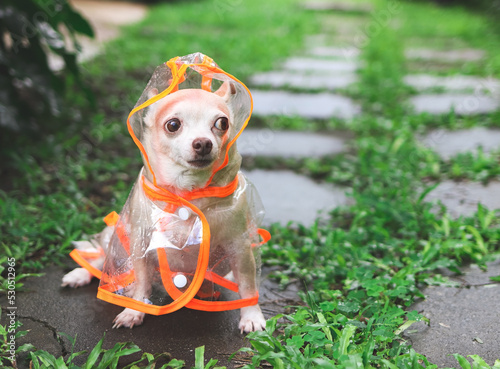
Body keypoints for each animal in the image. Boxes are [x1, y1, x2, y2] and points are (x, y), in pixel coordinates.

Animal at [62, 82, 268, 332]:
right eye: (173, 125)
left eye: (222, 123)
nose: (203, 142)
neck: (189, 193)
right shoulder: (141, 245)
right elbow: (141, 284)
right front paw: (133, 311)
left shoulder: (240, 247)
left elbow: (248, 285)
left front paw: (252, 316)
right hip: (116, 237)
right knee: (102, 260)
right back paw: (79, 274)